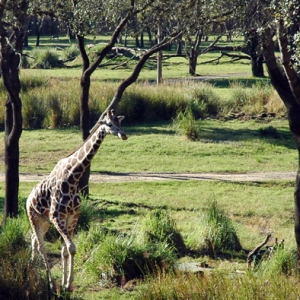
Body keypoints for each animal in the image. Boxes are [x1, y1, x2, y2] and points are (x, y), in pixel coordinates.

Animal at [26, 109, 127, 290]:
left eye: (120, 122)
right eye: (109, 124)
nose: (123, 135)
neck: (72, 178)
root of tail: (28, 198)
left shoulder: (72, 216)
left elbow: (66, 249)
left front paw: (67, 283)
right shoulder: (56, 216)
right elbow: (71, 247)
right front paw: (65, 283)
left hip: (44, 221)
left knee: (34, 241)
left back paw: (34, 268)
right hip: (34, 217)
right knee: (41, 246)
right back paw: (50, 283)